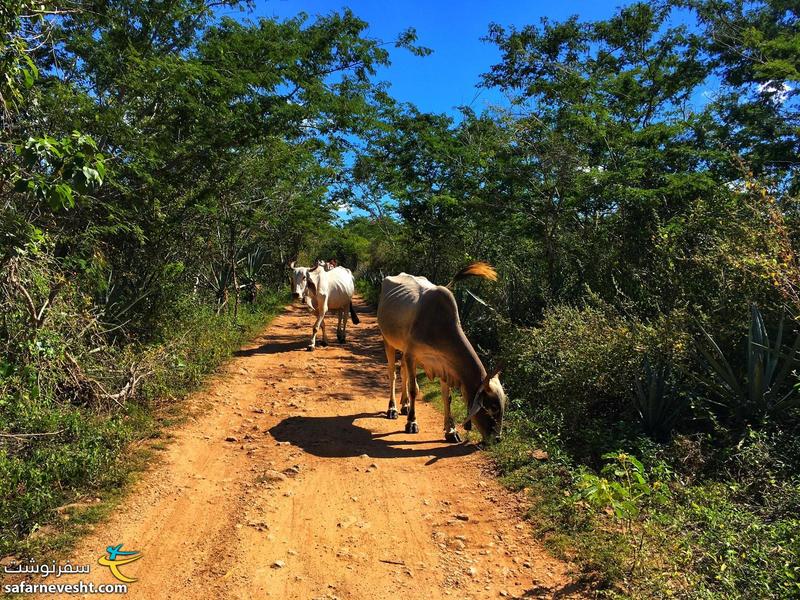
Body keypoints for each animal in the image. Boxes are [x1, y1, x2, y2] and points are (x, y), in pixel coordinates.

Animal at [376, 264, 506, 446]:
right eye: (493, 407)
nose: (498, 439)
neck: (438, 325)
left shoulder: (445, 364)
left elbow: (447, 397)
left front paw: (451, 431)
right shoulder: (411, 355)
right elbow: (413, 390)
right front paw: (412, 423)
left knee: (402, 371)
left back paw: (405, 405)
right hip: (388, 340)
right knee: (392, 373)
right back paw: (393, 408)